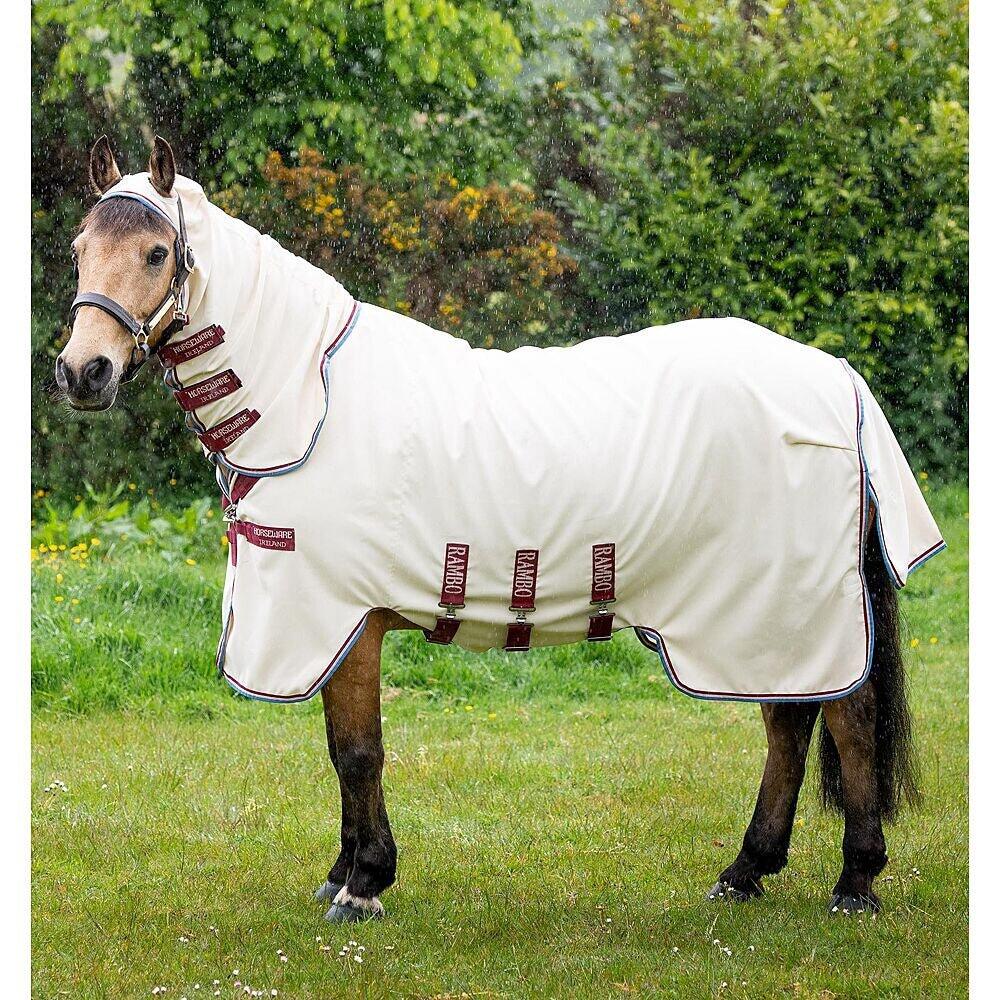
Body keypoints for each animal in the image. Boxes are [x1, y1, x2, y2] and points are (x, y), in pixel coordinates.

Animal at [56, 135, 944, 923]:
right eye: (79, 248)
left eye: (157, 254)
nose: (81, 372)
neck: (311, 402)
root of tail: (837, 378)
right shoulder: (332, 625)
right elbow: (341, 753)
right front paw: (344, 870)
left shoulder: (346, 618)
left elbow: (359, 751)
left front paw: (364, 884)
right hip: (759, 612)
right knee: (791, 721)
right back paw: (746, 871)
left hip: (791, 603)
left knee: (847, 718)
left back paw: (855, 882)